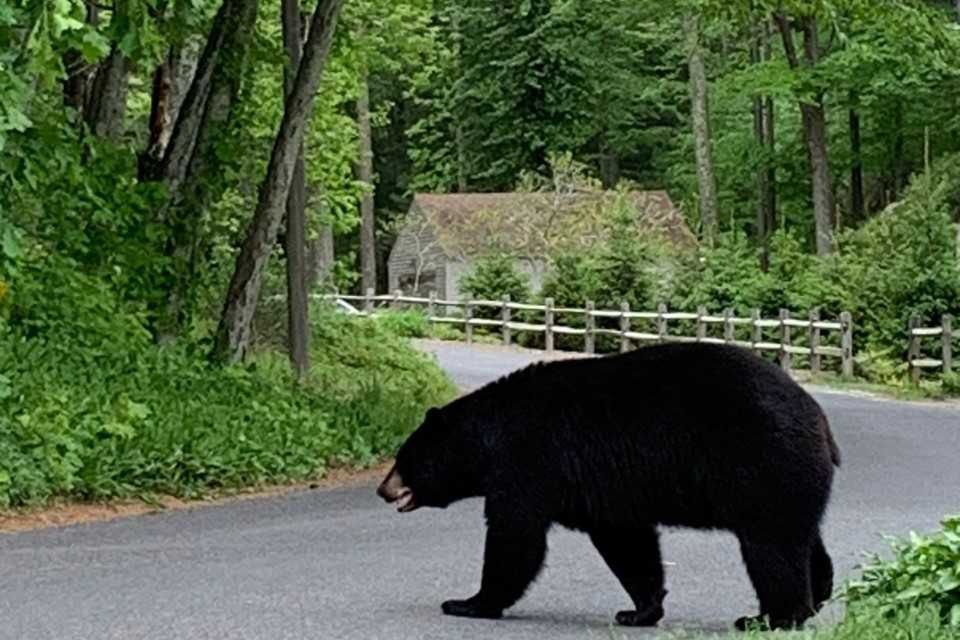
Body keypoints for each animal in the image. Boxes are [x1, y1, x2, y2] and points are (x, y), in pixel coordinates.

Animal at [376, 344, 840, 632]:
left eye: (403, 458)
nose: (382, 489)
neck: (488, 438)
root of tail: (820, 419)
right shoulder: (603, 489)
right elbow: (626, 542)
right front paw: (640, 610)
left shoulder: (528, 462)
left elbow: (516, 537)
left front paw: (469, 602)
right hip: (787, 479)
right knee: (801, 538)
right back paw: (817, 596)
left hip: (762, 463)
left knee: (770, 546)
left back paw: (772, 617)